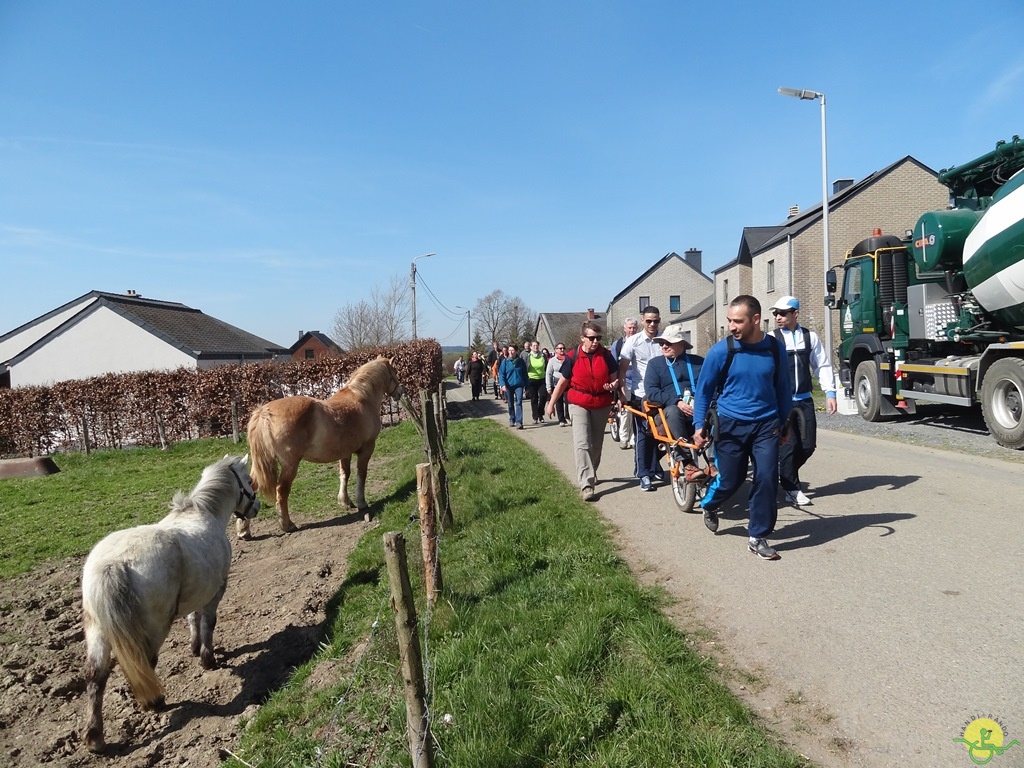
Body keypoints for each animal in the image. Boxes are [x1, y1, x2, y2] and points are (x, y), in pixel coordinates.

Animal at [81, 454, 262, 753]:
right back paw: (155, 702)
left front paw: (194, 648)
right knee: (147, 663)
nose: (257, 507)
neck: (203, 512)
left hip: (97, 632)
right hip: (153, 629)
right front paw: (208, 659)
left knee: (96, 677)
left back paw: (95, 737)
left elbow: (192, 619)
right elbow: (208, 622)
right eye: (248, 480)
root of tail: (114, 563)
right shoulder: (217, 590)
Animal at [237, 358, 401, 536]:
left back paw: (243, 530)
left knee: (251, 486)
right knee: (281, 491)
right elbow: (361, 474)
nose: (400, 392)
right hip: (290, 465)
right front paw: (361, 503)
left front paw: (345, 501)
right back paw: (287, 525)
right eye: (394, 372)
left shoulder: (345, 452)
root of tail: (264, 412)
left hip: (261, 463)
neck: (362, 398)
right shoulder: (367, 448)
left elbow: (345, 474)